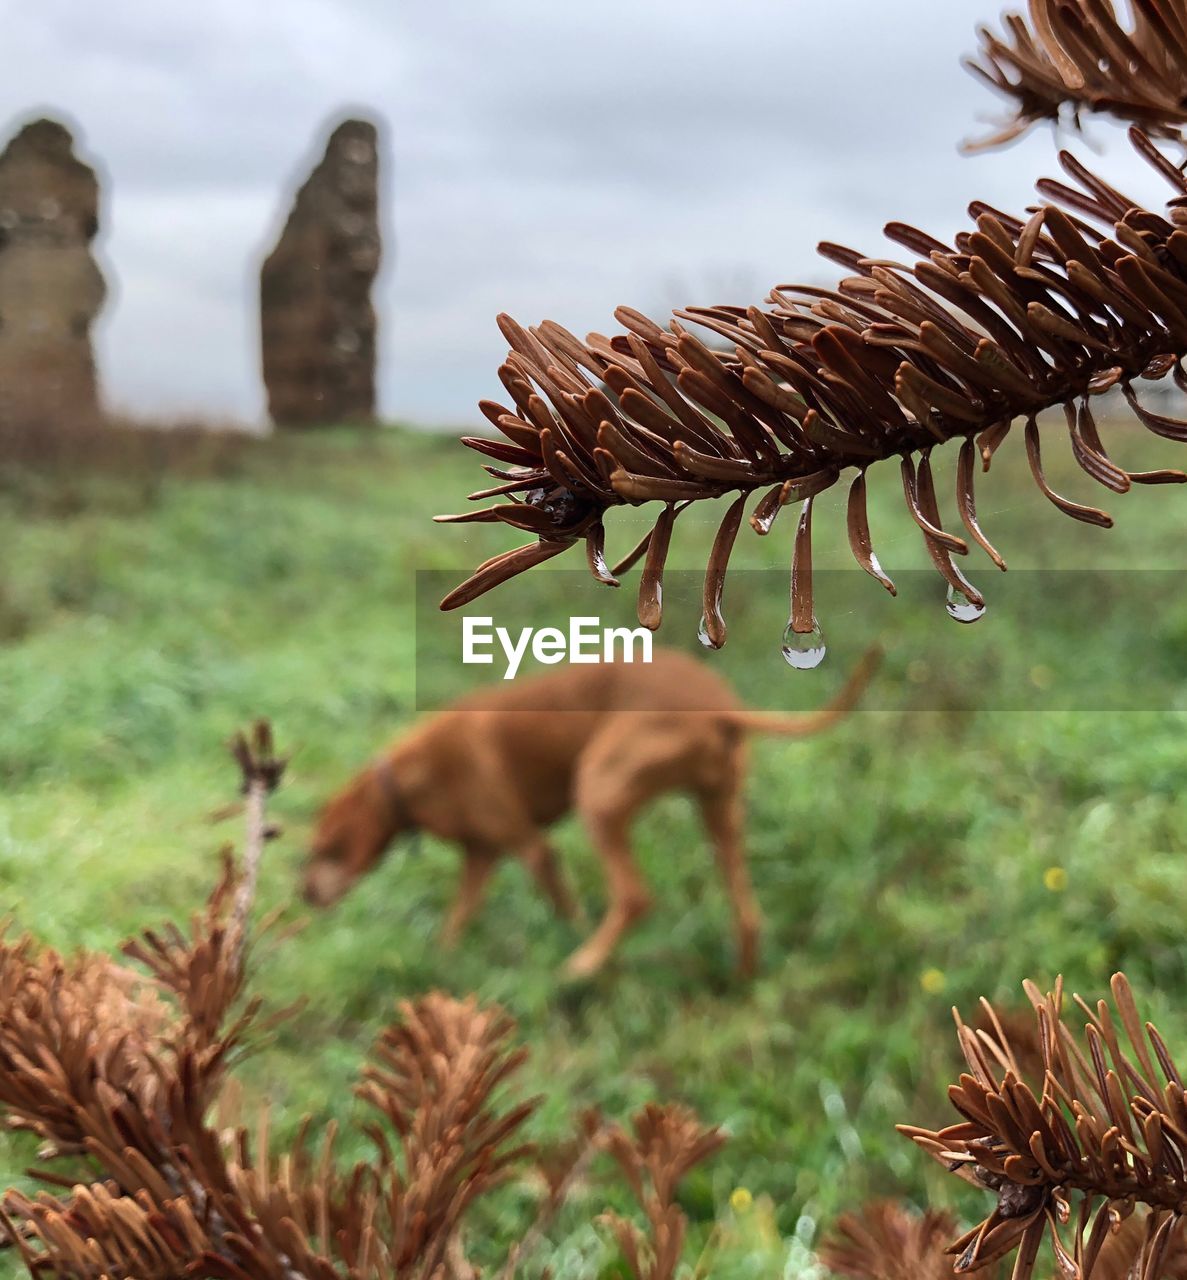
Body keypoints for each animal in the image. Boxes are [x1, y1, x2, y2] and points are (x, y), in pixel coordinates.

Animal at [306, 650, 880, 977]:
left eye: (322, 849)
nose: (304, 895)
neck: (407, 777)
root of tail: (721, 704)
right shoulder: (482, 856)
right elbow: (456, 919)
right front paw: (438, 963)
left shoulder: (533, 849)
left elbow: (565, 905)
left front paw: (573, 937)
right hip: (720, 813)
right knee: (748, 913)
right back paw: (743, 981)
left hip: (598, 791)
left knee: (634, 897)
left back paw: (582, 966)